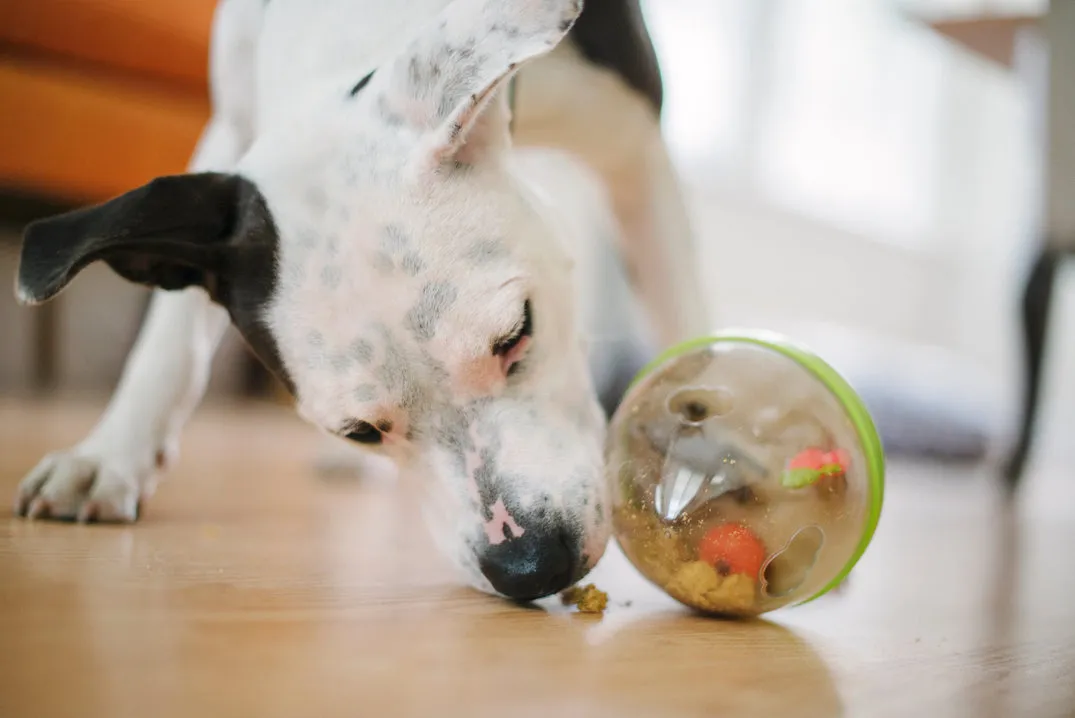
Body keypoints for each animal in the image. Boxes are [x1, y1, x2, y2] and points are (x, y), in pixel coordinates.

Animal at [14, 0, 713, 601]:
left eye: (518, 332)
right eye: (359, 431)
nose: (532, 564)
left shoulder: (637, 150)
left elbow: (683, 319)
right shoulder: (229, 144)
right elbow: (172, 329)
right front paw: (108, 455)